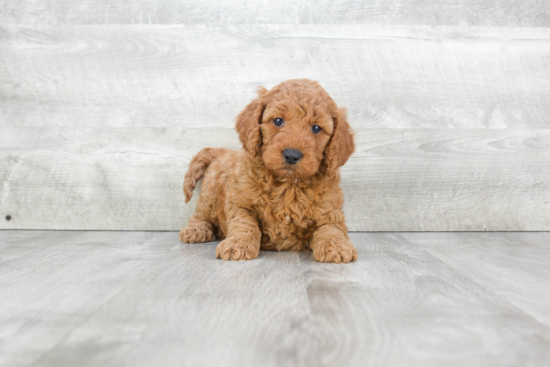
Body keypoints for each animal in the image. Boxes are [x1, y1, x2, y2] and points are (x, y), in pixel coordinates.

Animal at [180, 80, 358, 264]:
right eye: (278, 121)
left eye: (316, 128)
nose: (292, 155)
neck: (288, 184)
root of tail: (224, 152)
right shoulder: (239, 200)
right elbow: (244, 222)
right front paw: (238, 243)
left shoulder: (330, 210)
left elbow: (331, 228)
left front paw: (336, 246)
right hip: (211, 193)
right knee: (201, 214)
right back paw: (196, 230)